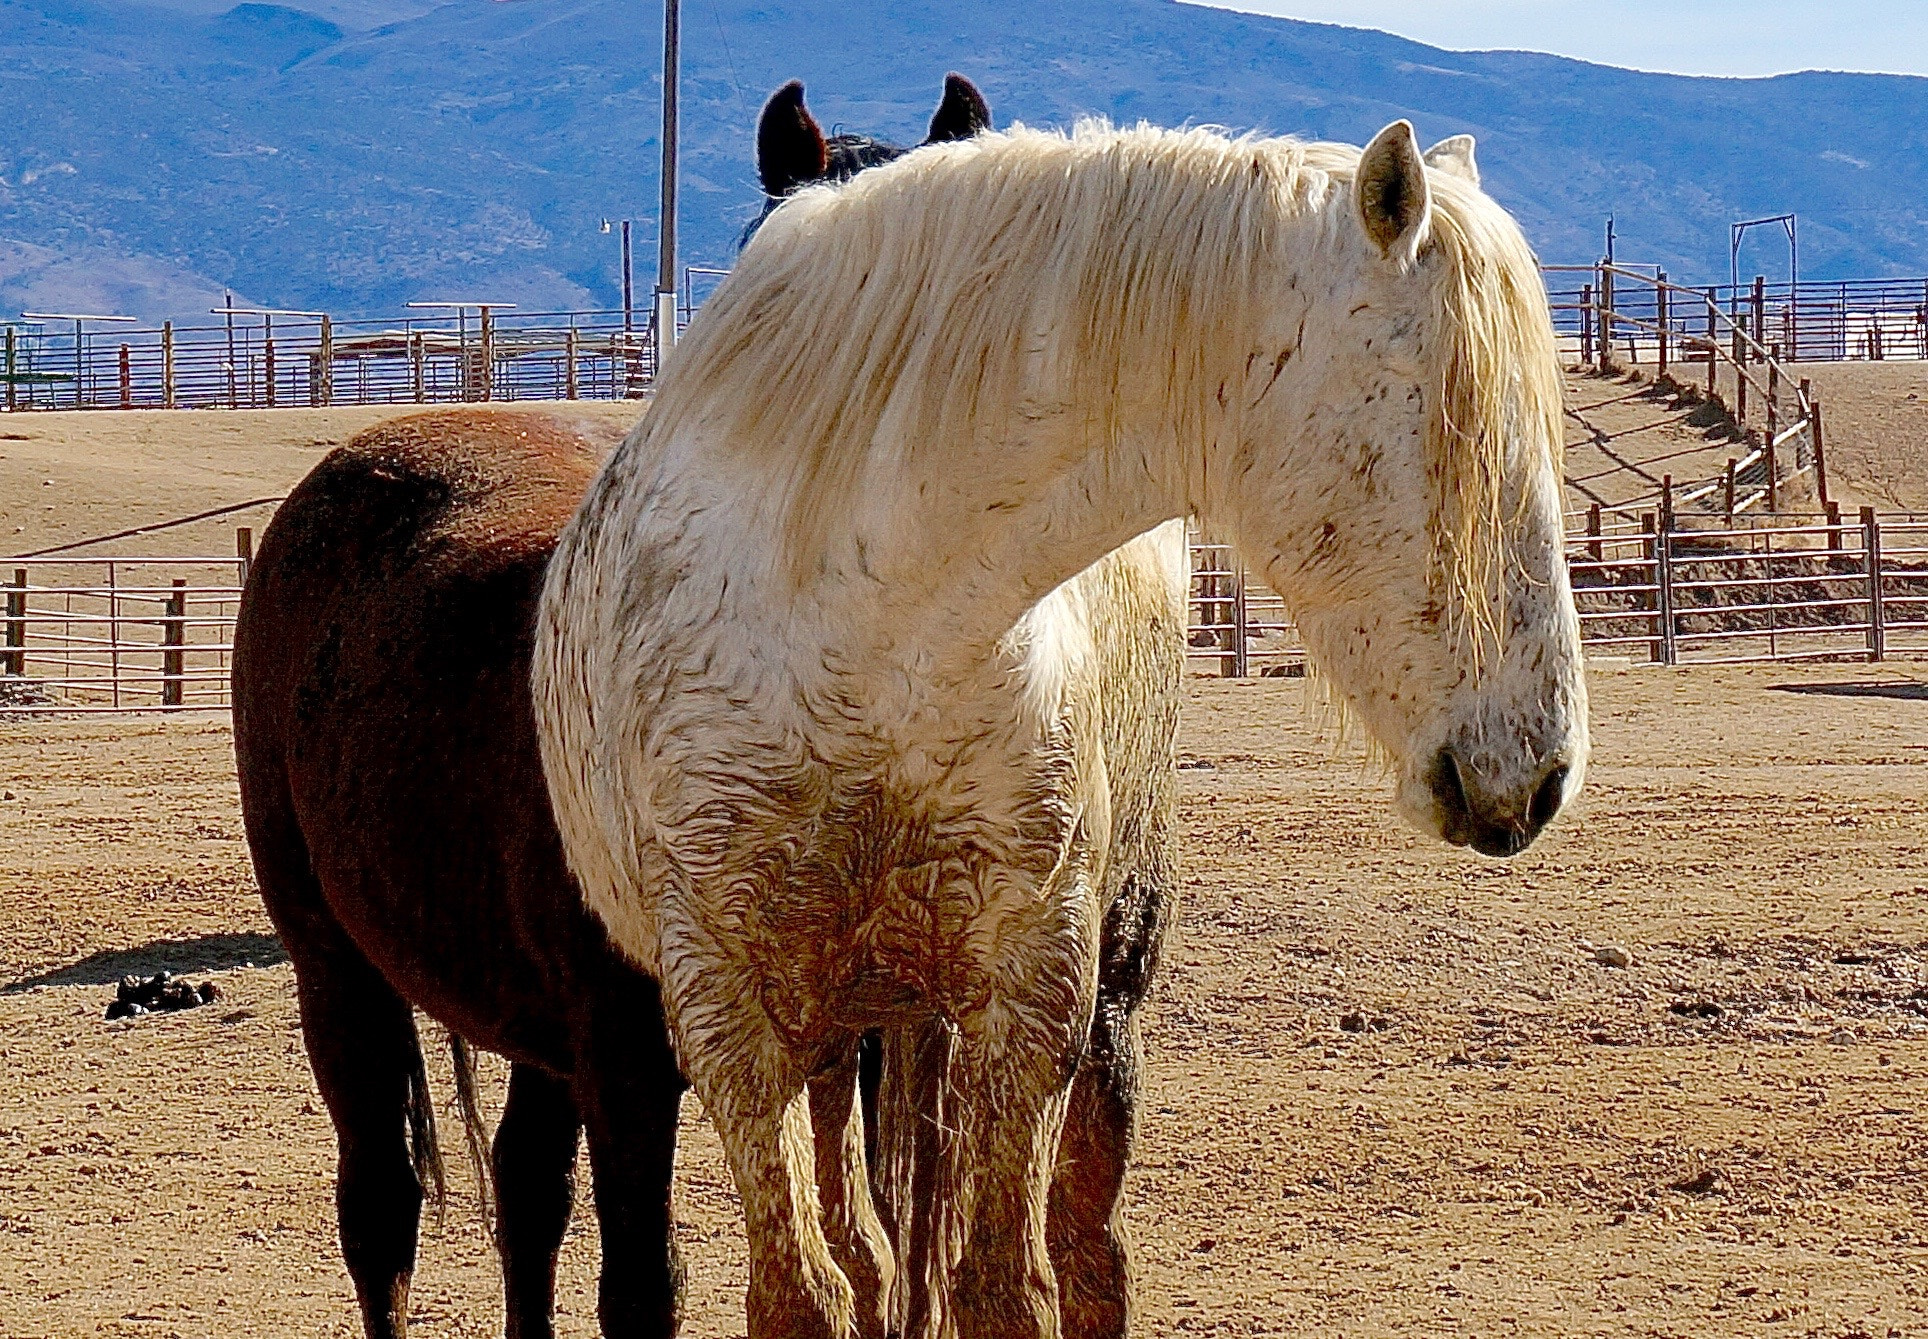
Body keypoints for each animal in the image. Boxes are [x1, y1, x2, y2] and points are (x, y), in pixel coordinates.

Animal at [535, 120, 1588, 1333]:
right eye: (1444, 416)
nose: (1542, 770)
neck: (863, 618)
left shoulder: (1030, 994)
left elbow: (1005, 1285)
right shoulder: (730, 1017)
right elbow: (807, 1288)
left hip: (1093, 993)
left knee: (1077, 1249)